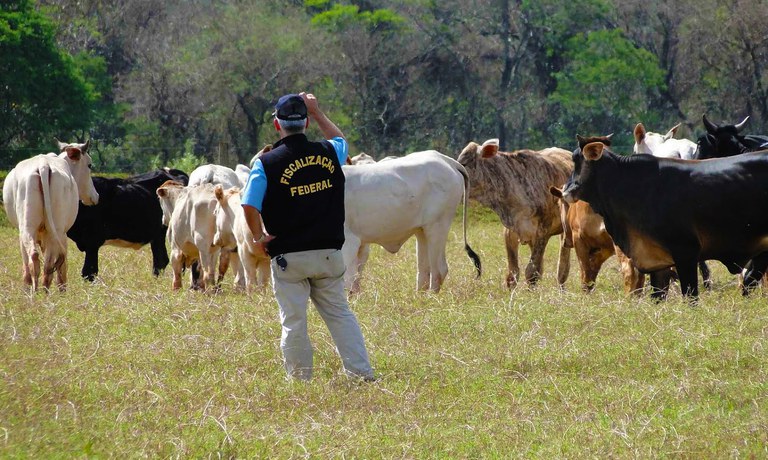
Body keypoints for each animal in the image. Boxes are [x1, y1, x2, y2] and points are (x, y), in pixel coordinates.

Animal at [2, 139, 99, 292]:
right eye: (89, 165)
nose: (96, 196)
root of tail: (43, 165)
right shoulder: (62, 235)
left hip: (28, 228)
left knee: (36, 258)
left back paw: (36, 292)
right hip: (56, 231)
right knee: (47, 263)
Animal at [342, 149, 480, 292]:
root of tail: (447, 160)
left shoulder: (349, 242)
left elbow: (348, 283)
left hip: (437, 226)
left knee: (439, 270)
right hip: (422, 231)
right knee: (424, 272)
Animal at [456, 138, 568, 290]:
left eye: (464, 164)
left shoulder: (543, 232)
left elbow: (531, 272)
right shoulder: (510, 231)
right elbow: (513, 273)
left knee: (563, 264)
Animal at [560, 139, 768, 298]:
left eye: (577, 162)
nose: (565, 191)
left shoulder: (686, 252)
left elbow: (691, 296)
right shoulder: (656, 261)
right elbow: (657, 296)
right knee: (749, 281)